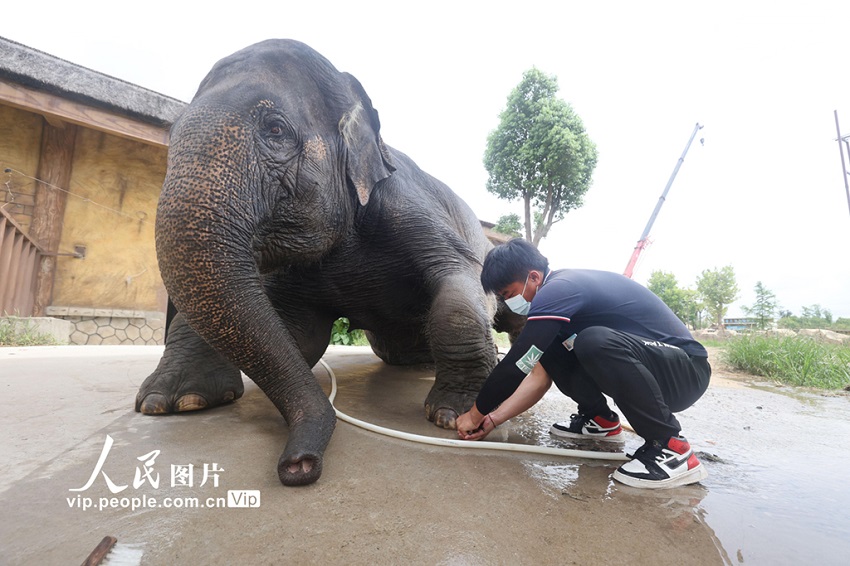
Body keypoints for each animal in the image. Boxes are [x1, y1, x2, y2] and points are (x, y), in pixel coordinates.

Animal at [135, 38, 520, 488]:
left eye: (275, 129)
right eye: (171, 135)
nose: (298, 465)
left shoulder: (406, 204)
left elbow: (459, 281)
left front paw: (454, 414)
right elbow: (301, 337)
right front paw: (173, 402)